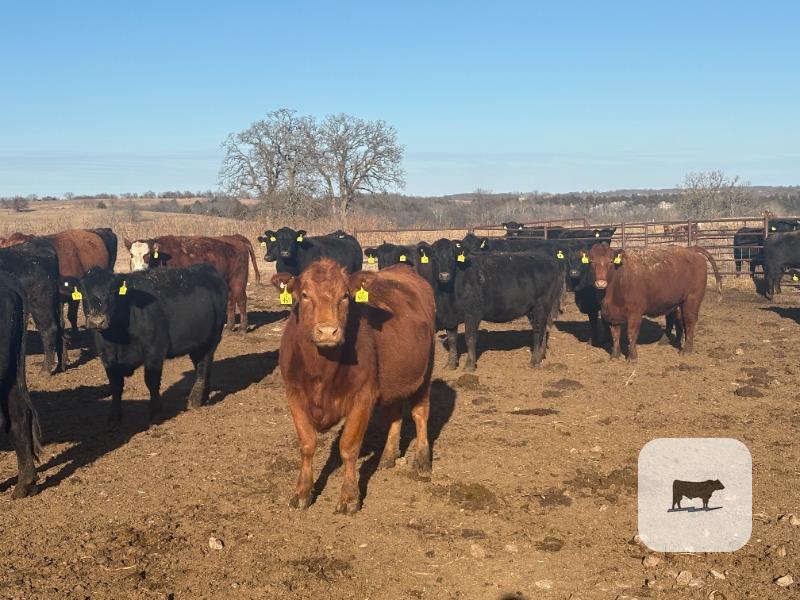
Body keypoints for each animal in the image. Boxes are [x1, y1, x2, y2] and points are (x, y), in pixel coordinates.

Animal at [79, 264, 228, 423]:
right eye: (83, 293)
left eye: (113, 291)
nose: (96, 321)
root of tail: (206, 268)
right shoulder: (106, 356)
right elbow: (115, 385)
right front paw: (114, 415)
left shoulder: (154, 350)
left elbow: (151, 382)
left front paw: (156, 413)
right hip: (198, 343)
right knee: (203, 366)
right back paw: (204, 396)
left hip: (212, 338)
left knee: (202, 367)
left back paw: (195, 400)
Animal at [125, 235, 253, 332]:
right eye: (131, 255)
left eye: (147, 255)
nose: (138, 270)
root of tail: (235, 237)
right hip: (228, 282)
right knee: (231, 301)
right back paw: (229, 327)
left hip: (238, 280)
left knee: (241, 300)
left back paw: (243, 327)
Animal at [272, 259, 435, 514]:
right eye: (305, 295)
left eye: (345, 296)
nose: (328, 331)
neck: (321, 370)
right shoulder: (294, 394)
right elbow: (307, 444)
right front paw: (302, 492)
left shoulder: (363, 396)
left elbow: (348, 447)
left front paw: (349, 497)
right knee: (394, 414)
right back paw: (388, 457)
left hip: (425, 372)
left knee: (420, 414)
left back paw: (422, 460)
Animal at [429, 238, 562, 371]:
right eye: (434, 256)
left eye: (453, 256)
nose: (444, 275)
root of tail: (548, 259)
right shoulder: (448, 316)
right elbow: (452, 340)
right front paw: (450, 364)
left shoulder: (473, 314)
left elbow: (470, 338)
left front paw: (469, 365)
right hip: (533, 310)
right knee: (542, 329)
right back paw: (541, 355)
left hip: (541, 306)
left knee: (538, 331)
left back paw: (534, 361)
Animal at [588, 244, 722, 361]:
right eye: (591, 261)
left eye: (610, 261)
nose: (601, 283)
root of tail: (691, 250)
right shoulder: (612, 314)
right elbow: (615, 335)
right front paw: (615, 356)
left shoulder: (635, 314)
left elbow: (631, 334)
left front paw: (632, 357)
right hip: (679, 302)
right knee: (679, 320)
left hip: (692, 300)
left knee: (689, 322)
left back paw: (687, 350)